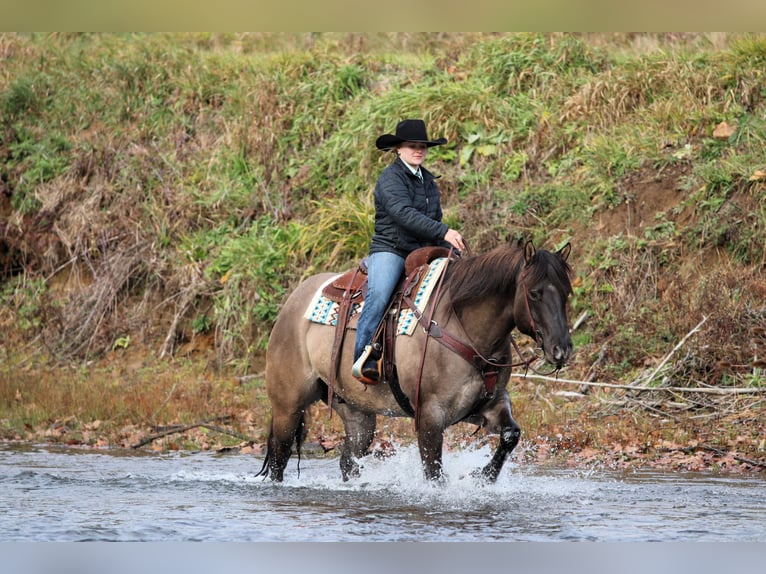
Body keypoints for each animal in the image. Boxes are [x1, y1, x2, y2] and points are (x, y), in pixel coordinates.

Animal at [257, 239, 573, 482]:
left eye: (566, 293)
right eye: (534, 293)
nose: (562, 350)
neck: (462, 326)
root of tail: (292, 302)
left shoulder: (487, 404)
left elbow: (510, 435)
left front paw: (482, 477)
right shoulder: (430, 416)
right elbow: (433, 472)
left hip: (357, 413)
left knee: (349, 462)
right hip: (288, 407)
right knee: (279, 458)